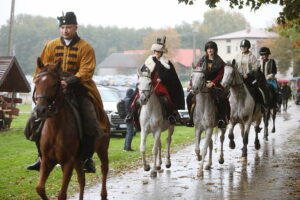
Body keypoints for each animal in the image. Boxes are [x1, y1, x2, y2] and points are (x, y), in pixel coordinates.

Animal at [33, 57, 110, 199]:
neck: (56, 128)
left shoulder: (68, 162)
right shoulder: (47, 160)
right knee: (82, 180)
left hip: (102, 149)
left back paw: (103, 194)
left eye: (55, 84)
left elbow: (62, 195)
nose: (40, 110)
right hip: (78, 160)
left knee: (104, 169)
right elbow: (40, 188)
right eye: (36, 82)